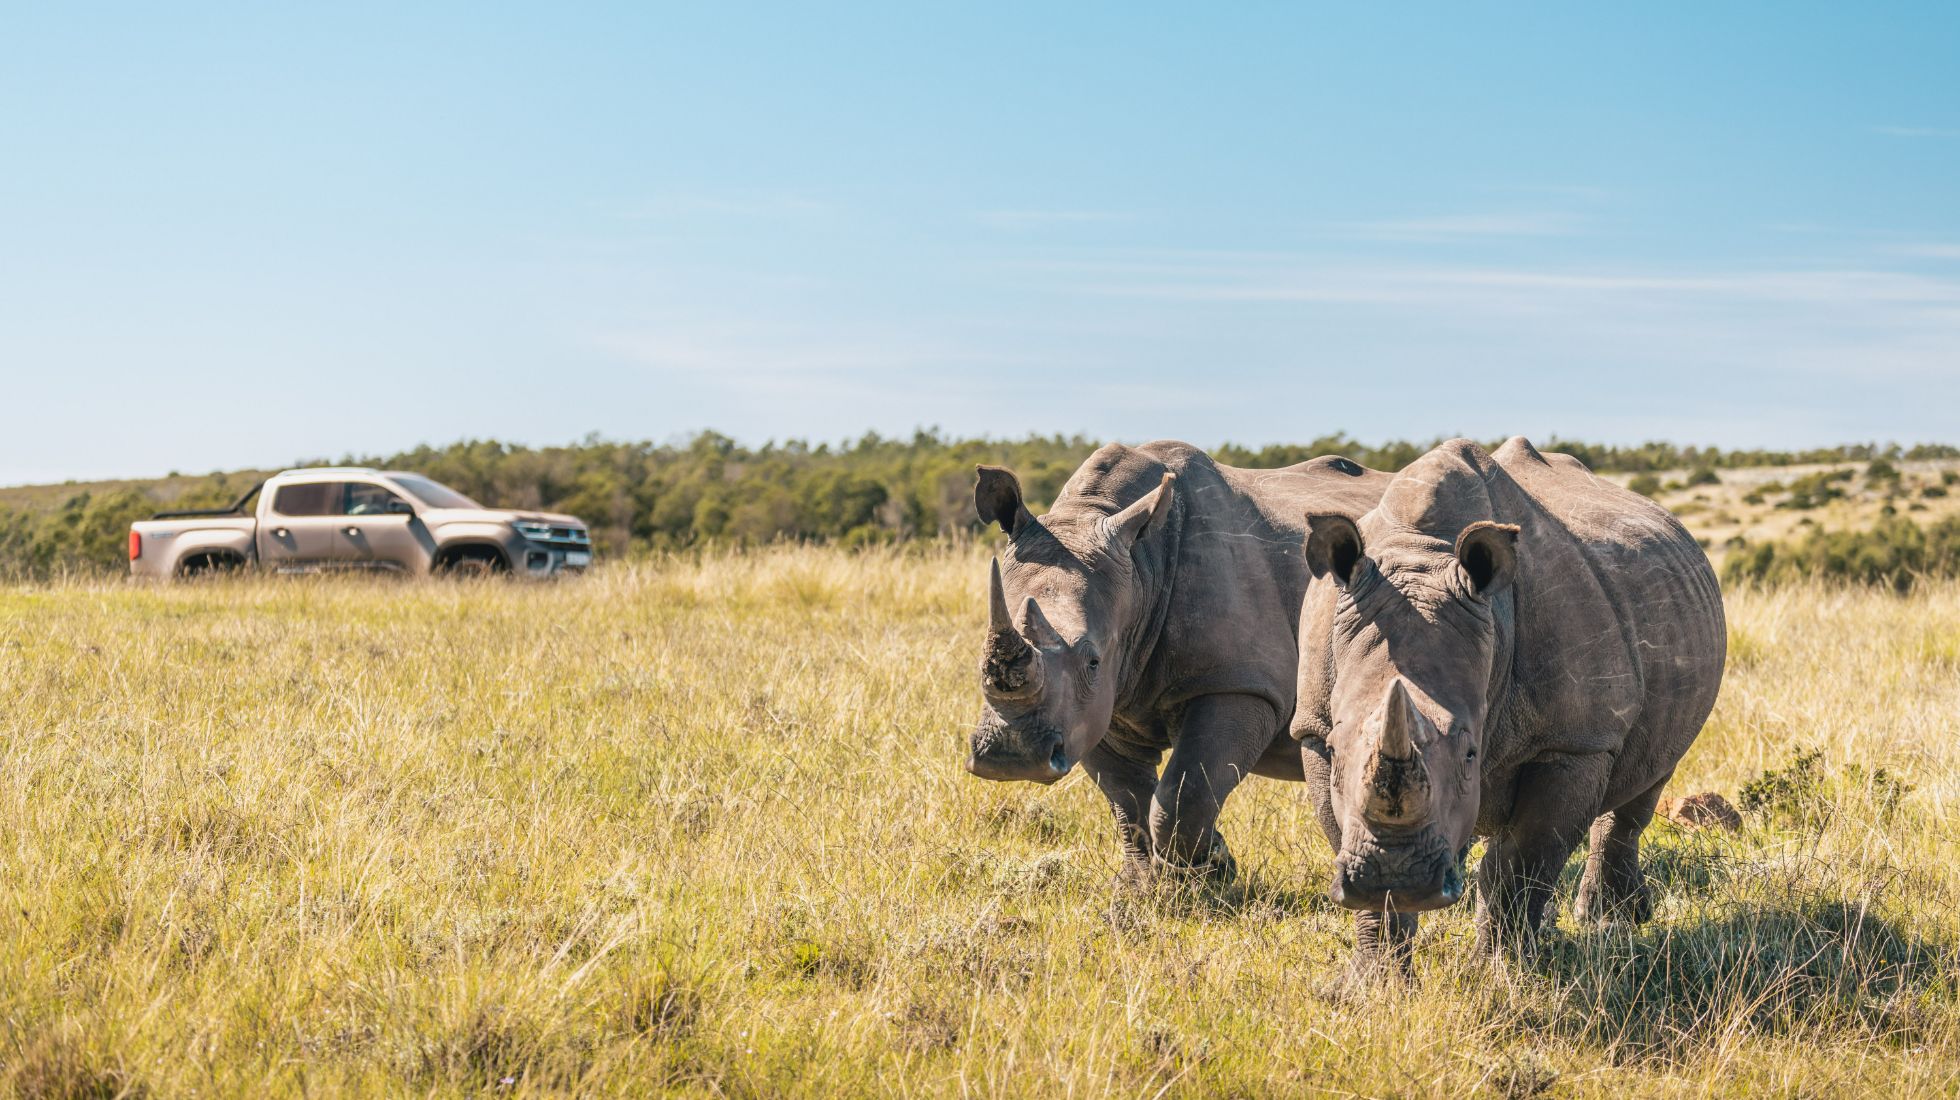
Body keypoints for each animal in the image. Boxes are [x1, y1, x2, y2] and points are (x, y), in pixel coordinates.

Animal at [966, 441, 1389, 879]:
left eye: (1093, 661)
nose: (1011, 757)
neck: (1140, 568)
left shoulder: (1240, 684)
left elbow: (1184, 794)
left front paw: (1208, 874)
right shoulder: (1093, 706)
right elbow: (1128, 801)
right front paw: (1140, 887)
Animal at [1291, 437, 1725, 970]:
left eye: (1470, 754)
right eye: (1337, 750)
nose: (1397, 877)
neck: (1419, 555)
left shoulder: (1573, 743)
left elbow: (1522, 862)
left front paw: (1501, 971)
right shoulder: (1313, 728)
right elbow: (1349, 832)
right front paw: (1376, 977)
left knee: (1647, 779)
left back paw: (1609, 921)